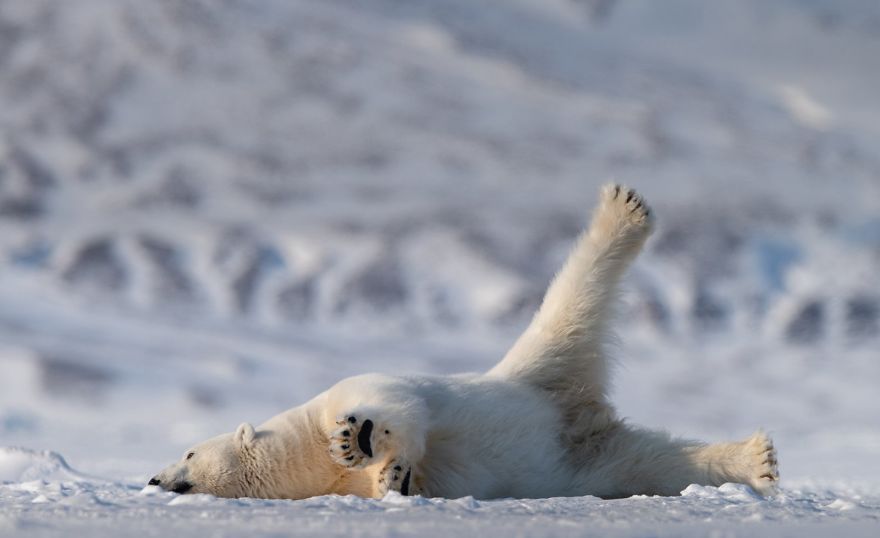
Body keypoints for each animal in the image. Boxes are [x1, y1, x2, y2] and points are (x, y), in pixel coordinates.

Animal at [148, 184, 780, 498]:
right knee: (651, 464)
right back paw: (757, 461)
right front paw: (393, 478)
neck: (304, 454)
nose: (155, 479)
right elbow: (399, 483)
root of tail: (574, 412)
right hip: (584, 452)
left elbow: (397, 407)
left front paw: (360, 439)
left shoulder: (348, 390)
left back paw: (621, 210)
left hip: (539, 361)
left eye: (189, 452)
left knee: (573, 297)